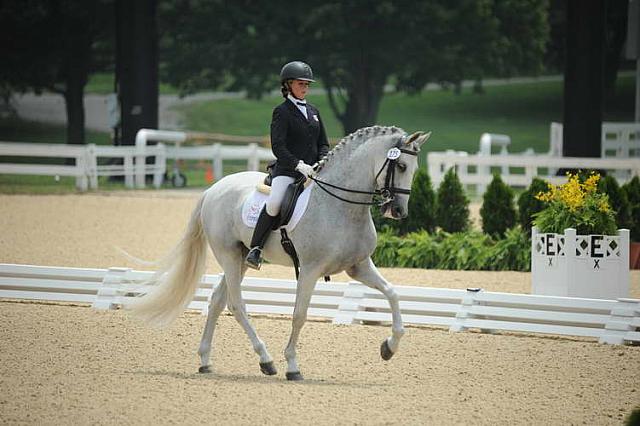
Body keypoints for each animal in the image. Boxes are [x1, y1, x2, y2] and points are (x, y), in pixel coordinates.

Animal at [126, 125, 430, 382]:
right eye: (401, 165)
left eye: (414, 168)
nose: (399, 211)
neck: (342, 207)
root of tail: (213, 189)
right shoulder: (310, 270)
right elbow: (299, 315)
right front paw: (293, 366)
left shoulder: (359, 266)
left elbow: (392, 293)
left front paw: (389, 347)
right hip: (228, 255)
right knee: (236, 304)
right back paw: (266, 360)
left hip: (241, 257)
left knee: (217, 301)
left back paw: (205, 361)